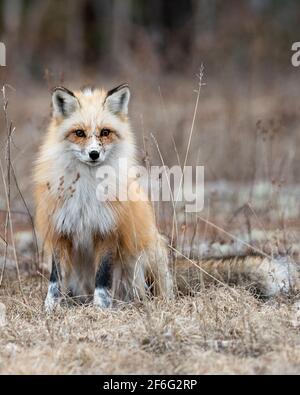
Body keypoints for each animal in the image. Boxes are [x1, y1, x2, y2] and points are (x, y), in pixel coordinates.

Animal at [33, 84, 172, 312]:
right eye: (79, 133)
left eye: (105, 132)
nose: (94, 154)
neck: (87, 189)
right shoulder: (60, 230)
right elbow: (55, 279)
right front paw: (50, 308)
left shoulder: (107, 229)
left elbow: (103, 276)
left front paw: (101, 307)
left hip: (146, 256)